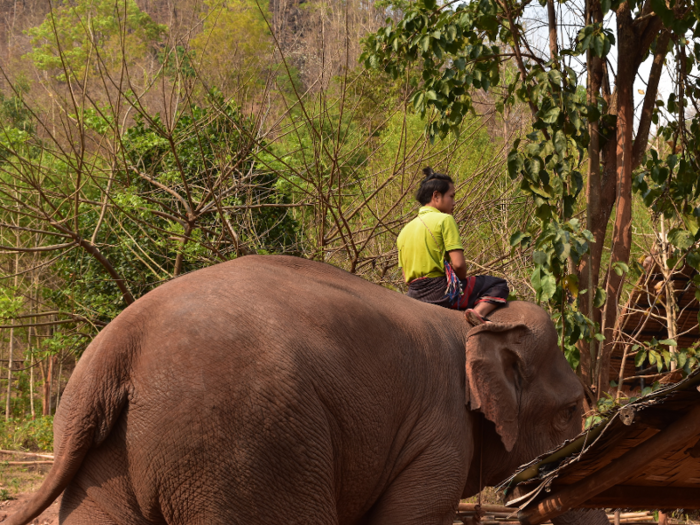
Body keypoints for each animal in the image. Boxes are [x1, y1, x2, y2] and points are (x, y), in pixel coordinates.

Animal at [5, 255, 608, 524]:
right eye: (569, 412)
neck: (470, 326)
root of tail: (118, 347)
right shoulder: (440, 435)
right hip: (245, 447)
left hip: (108, 458)